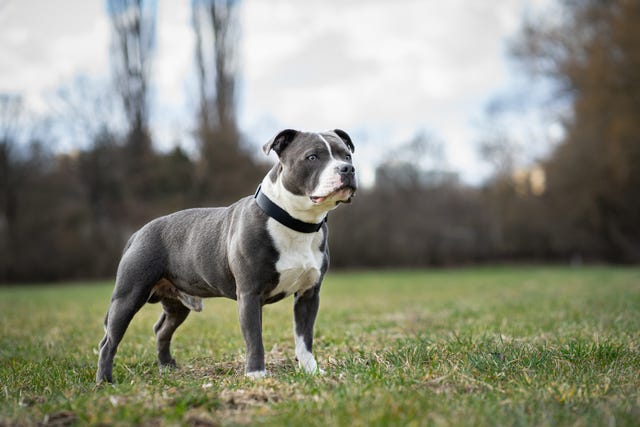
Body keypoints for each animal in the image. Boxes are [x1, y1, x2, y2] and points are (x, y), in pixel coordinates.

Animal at [95, 129, 358, 382]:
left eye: (346, 155)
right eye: (312, 157)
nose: (348, 169)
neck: (295, 222)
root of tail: (137, 233)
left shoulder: (308, 295)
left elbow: (304, 339)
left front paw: (311, 371)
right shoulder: (250, 294)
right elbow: (254, 338)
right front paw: (256, 375)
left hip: (177, 304)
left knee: (162, 330)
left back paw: (167, 367)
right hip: (129, 296)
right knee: (109, 341)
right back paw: (105, 381)